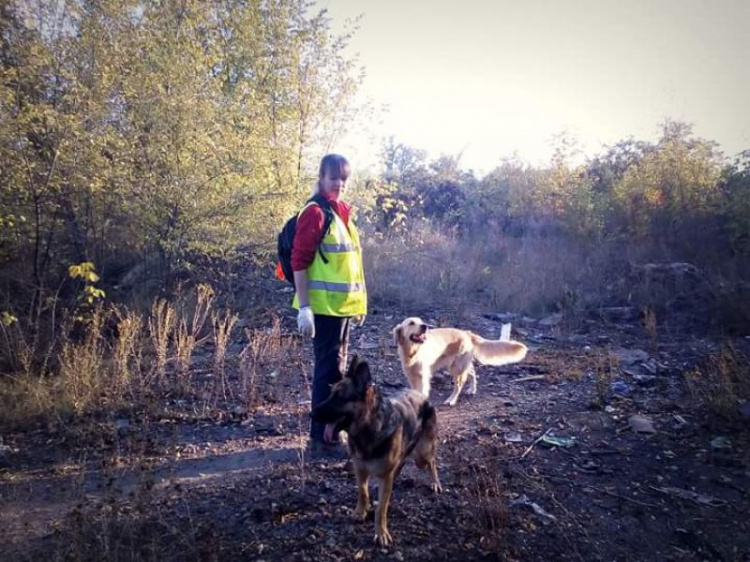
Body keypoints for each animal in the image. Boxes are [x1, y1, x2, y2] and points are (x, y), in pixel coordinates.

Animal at [310, 354, 440, 544]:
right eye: (330, 394)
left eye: (340, 397)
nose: (311, 414)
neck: (368, 428)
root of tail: (421, 395)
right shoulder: (360, 470)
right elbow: (363, 492)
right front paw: (360, 512)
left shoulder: (384, 478)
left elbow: (381, 509)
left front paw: (381, 532)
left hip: (421, 454)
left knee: (431, 462)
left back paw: (435, 482)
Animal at [394, 316, 528, 402]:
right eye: (411, 323)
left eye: (421, 321)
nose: (425, 326)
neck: (412, 352)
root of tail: (467, 333)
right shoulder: (411, 376)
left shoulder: (423, 376)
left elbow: (422, 391)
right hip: (459, 365)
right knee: (473, 373)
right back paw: (472, 389)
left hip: (456, 367)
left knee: (459, 385)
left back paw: (451, 400)